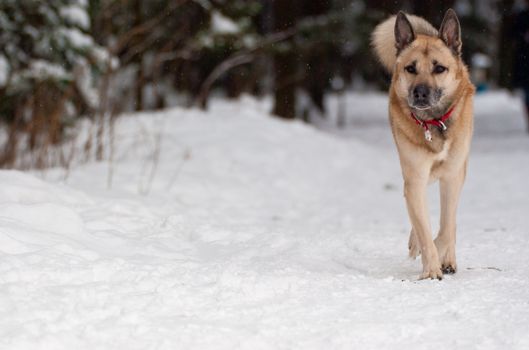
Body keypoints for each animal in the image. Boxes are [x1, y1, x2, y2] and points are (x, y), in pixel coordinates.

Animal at [372, 9, 474, 280]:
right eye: (410, 68)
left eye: (439, 68)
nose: (419, 93)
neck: (434, 122)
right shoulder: (415, 176)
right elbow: (425, 229)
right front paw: (430, 270)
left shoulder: (452, 176)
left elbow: (447, 227)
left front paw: (438, 256)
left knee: (449, 222)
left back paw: (446, 259)